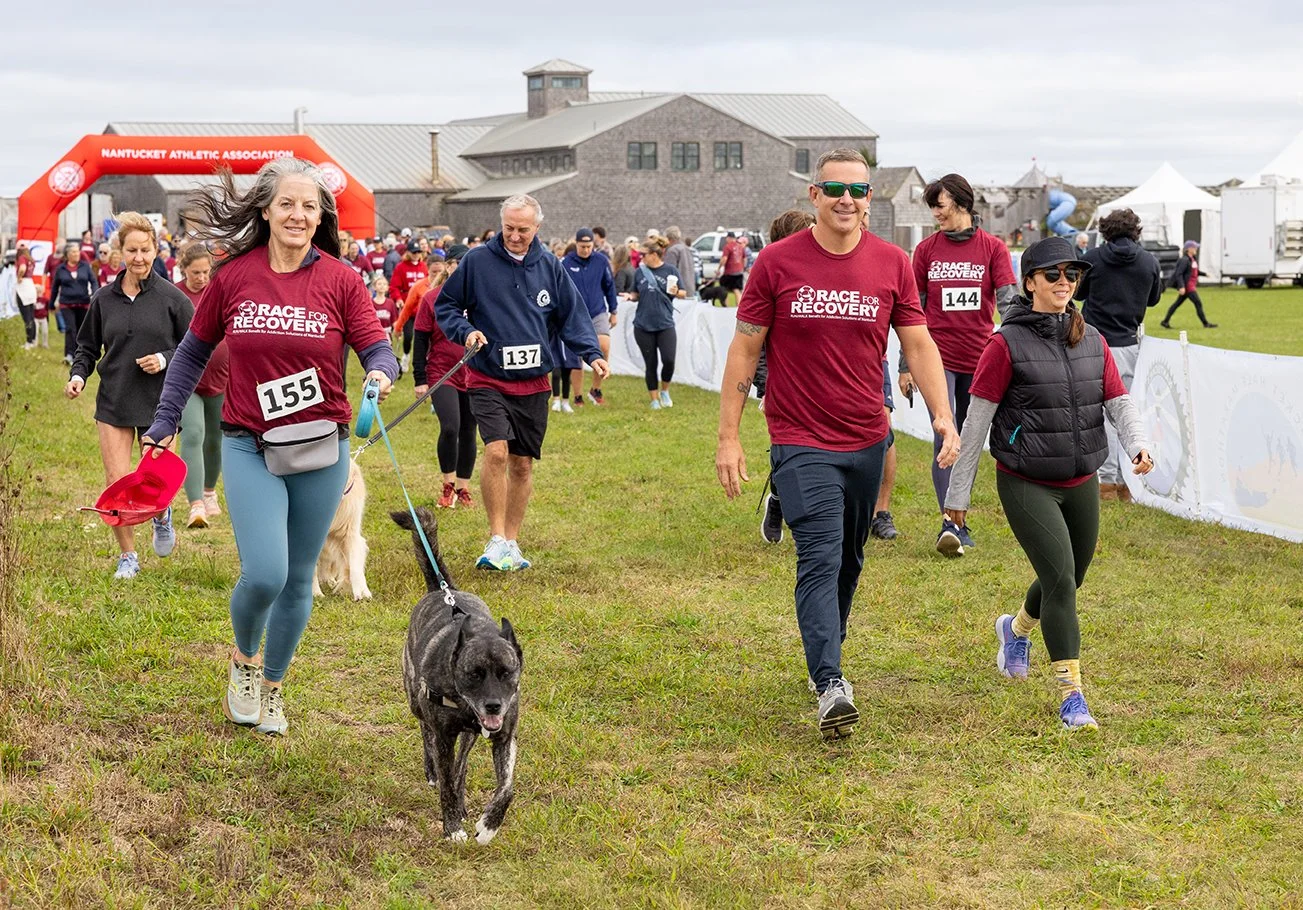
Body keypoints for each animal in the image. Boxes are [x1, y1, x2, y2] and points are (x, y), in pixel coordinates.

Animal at [392, 506, 522, 845]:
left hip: (469, 735)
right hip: (416, 701)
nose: (493, 705)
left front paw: (488, 826)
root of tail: (442, 590)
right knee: (426, 732)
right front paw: (452, 828)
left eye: (507, 672)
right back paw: (432, 773)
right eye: (473, 674)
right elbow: (447, 782)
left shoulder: (504, 738)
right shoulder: (443, 736)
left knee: (462, 764)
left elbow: (507, 788)